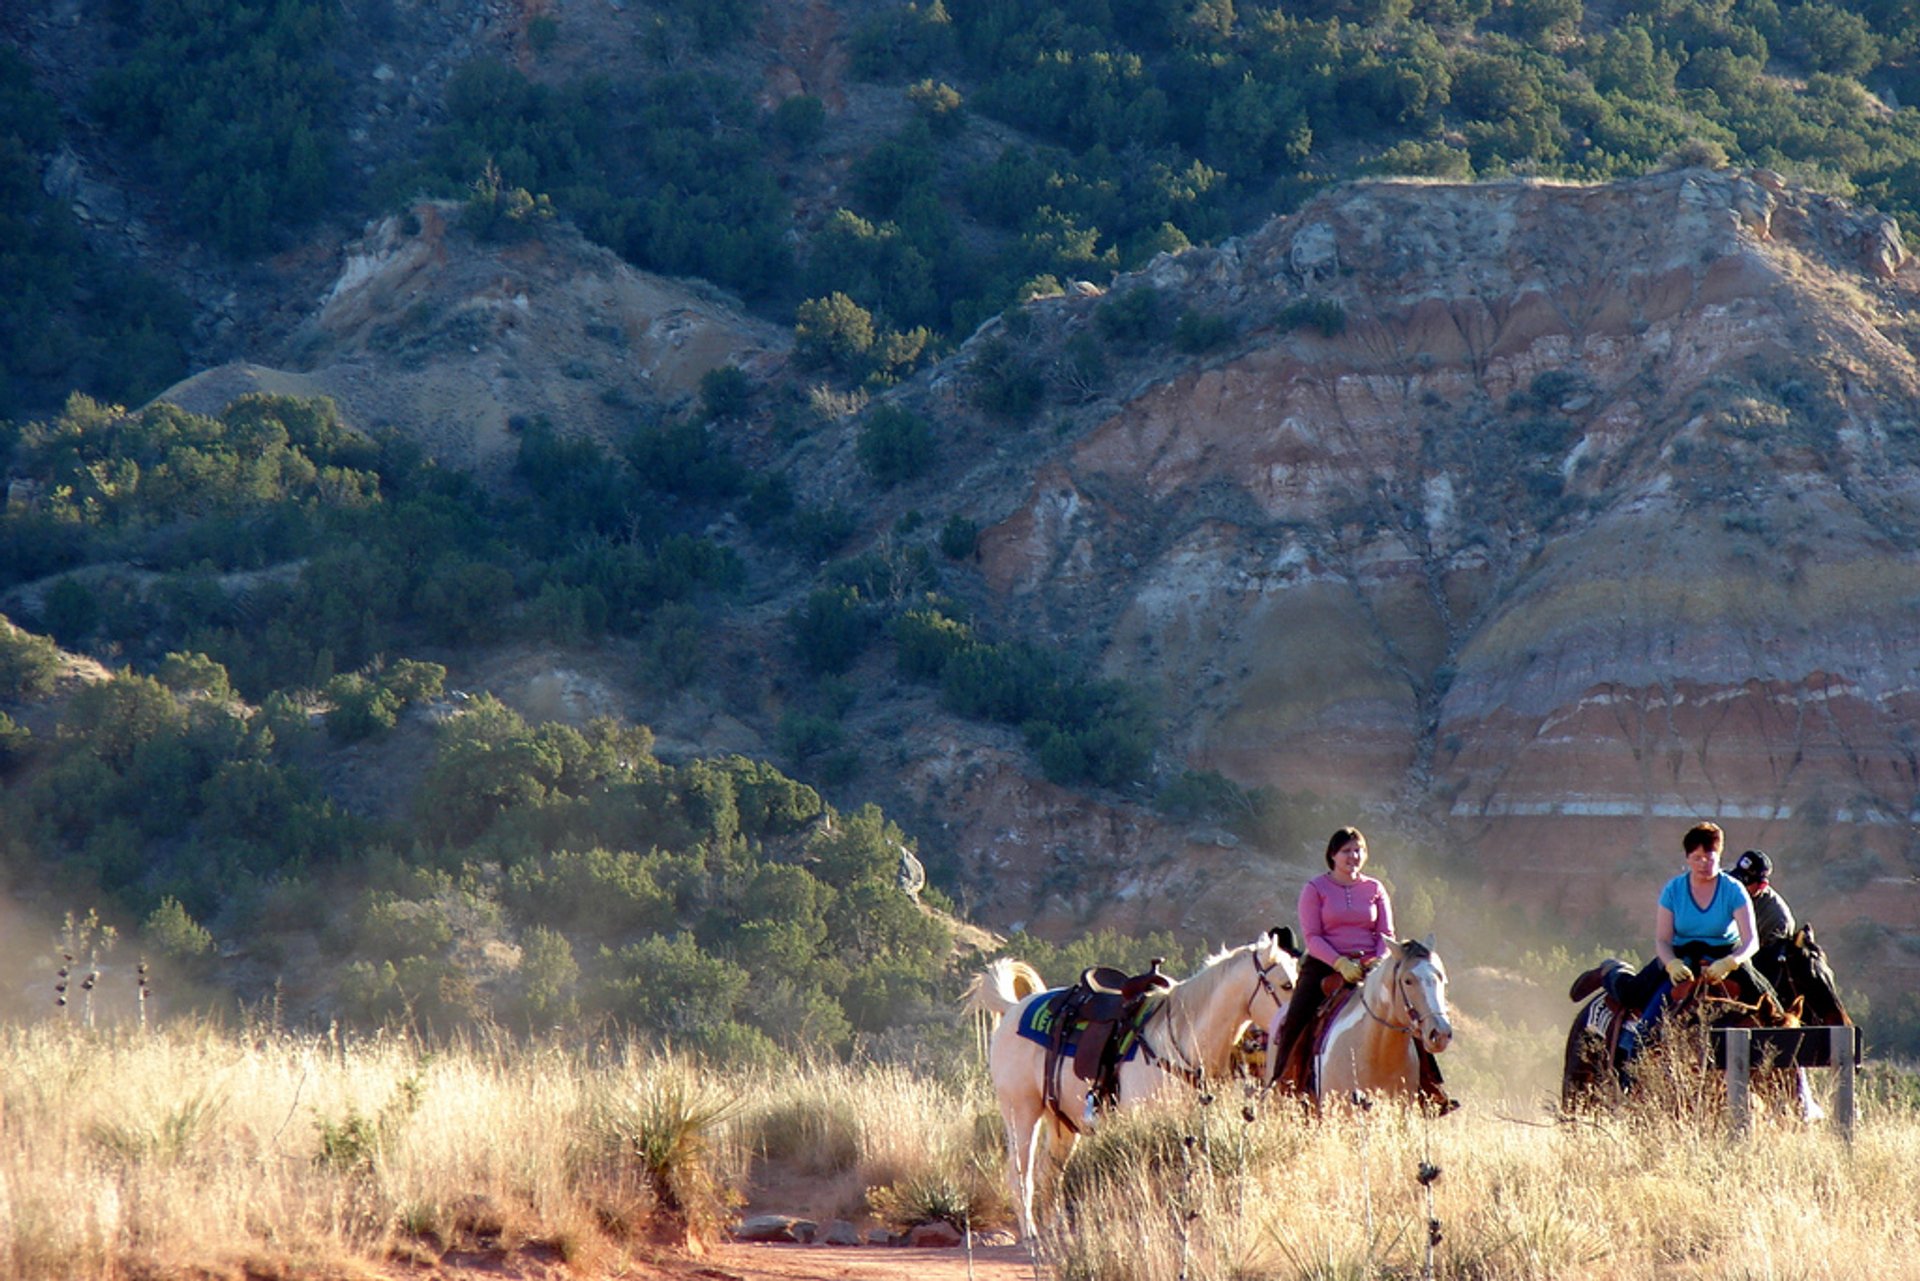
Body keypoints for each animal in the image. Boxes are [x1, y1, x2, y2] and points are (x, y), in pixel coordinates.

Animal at [967, 933, 1297, 1244]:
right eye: (1286, 984)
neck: (1179, 1036)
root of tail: (1013, 1009)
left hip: (1062, 1122)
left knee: (1050, 1174)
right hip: (1021, 1112)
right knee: (1020, 1176)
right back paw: (1030, 1234)